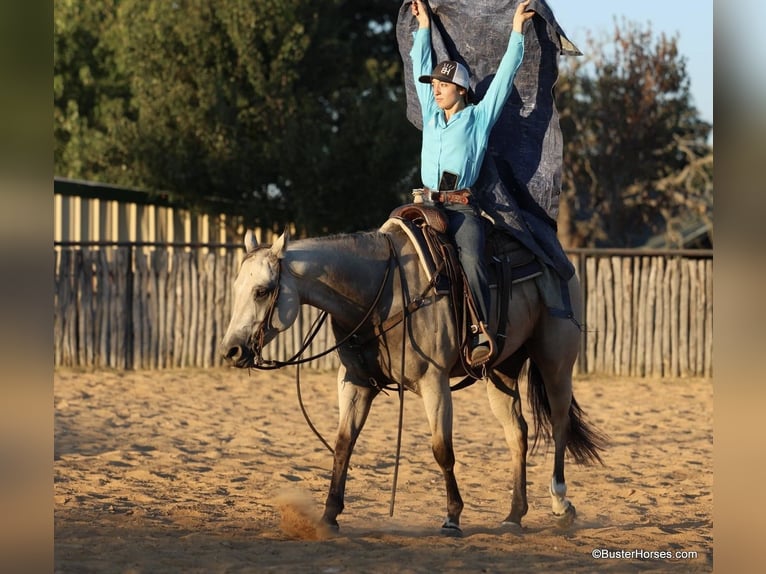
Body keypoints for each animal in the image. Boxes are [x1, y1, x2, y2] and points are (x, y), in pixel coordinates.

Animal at [218, 224, 606, 534]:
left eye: (262, 290)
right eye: (235, 287)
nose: (231, 350)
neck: (381, 294)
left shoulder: (434, 382)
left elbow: (442, 450)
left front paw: (452, 517)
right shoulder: (356, 383)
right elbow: (343, 444)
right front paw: (329, 516)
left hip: (556, 362)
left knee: (558, 424)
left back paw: (560, 504)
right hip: (501, 370)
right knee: (517, 434)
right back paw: (514, 515)